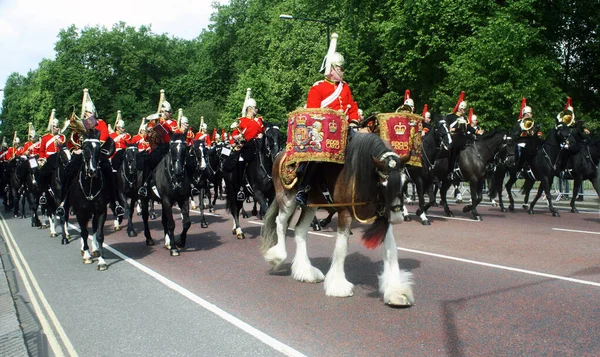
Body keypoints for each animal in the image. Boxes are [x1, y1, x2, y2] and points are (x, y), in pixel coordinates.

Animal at [260, 134, 414, 306]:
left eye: (405, 183)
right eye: (383, 183)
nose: (397, 217)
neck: (361, 175)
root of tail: (280, 154)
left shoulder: (383, 216)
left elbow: (391, 250)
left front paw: (396, 292)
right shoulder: (344, 212)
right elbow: (342, 248)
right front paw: (338, 286)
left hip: (311, 204)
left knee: (299, 230)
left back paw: (306, 272)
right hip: (287, 199)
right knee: (280, 223)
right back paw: (277, 257)